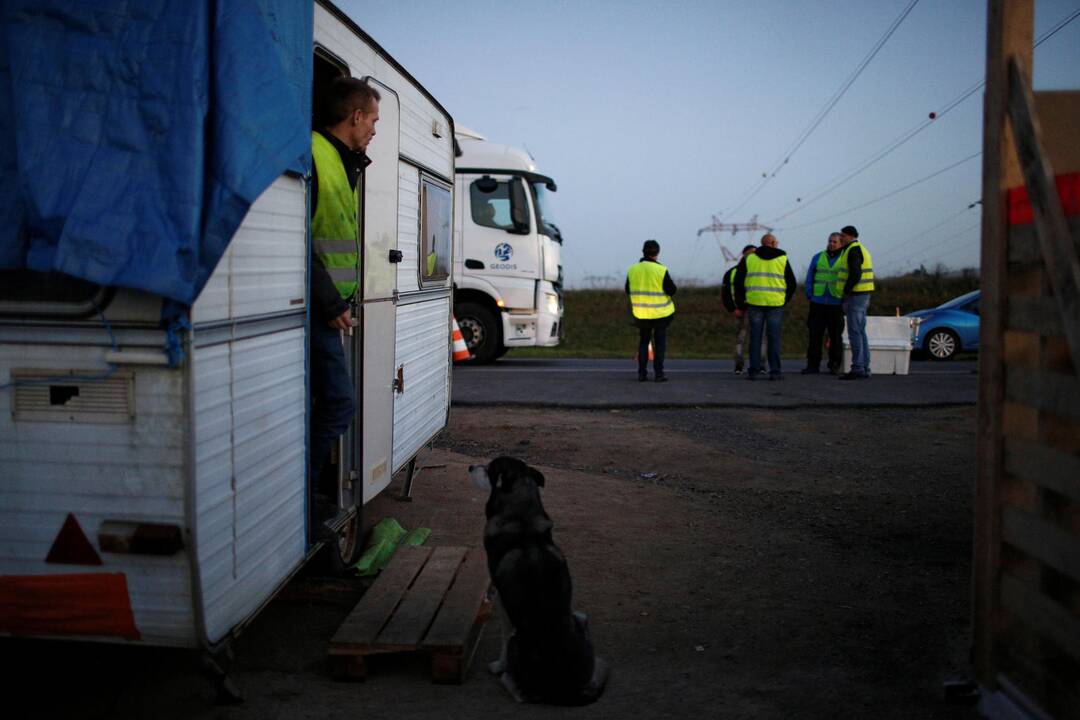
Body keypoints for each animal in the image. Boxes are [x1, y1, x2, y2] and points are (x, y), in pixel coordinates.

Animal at [468, 455, 609, 703]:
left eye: (487, 469)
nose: (469, 467)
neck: (523, 521)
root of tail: (569, 690)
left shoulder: (502, 601)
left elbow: (503, 638)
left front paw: (498, 666)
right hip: (580, 619)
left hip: (518, 639)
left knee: (520, 693)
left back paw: (505, 676)